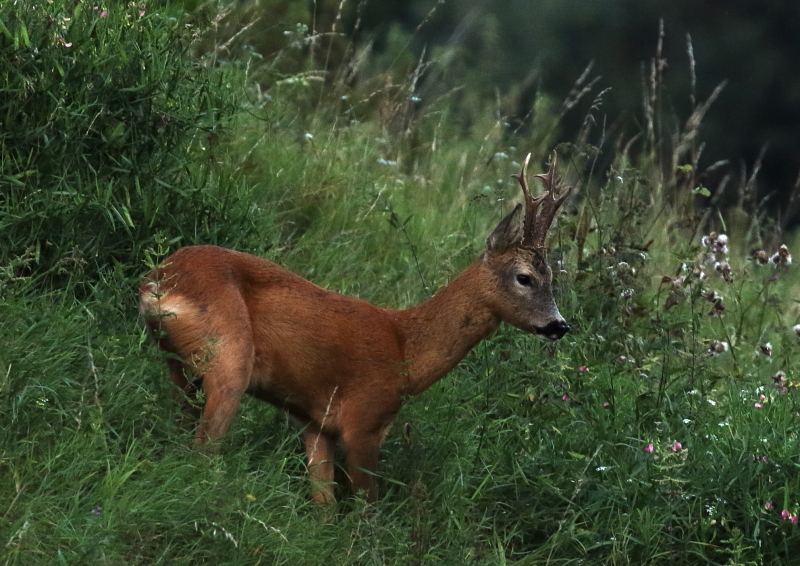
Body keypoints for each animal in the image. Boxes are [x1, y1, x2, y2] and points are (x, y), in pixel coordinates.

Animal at [141, 152, 572, 506]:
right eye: (525, 277)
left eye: (553, 277)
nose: (560, 325)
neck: (405, 350)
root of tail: (158, 284)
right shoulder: (363, 419)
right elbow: (368, 513)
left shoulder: (316, 423)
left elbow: (325, 507)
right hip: (229, 359)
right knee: (201, 448)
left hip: (180, 367)